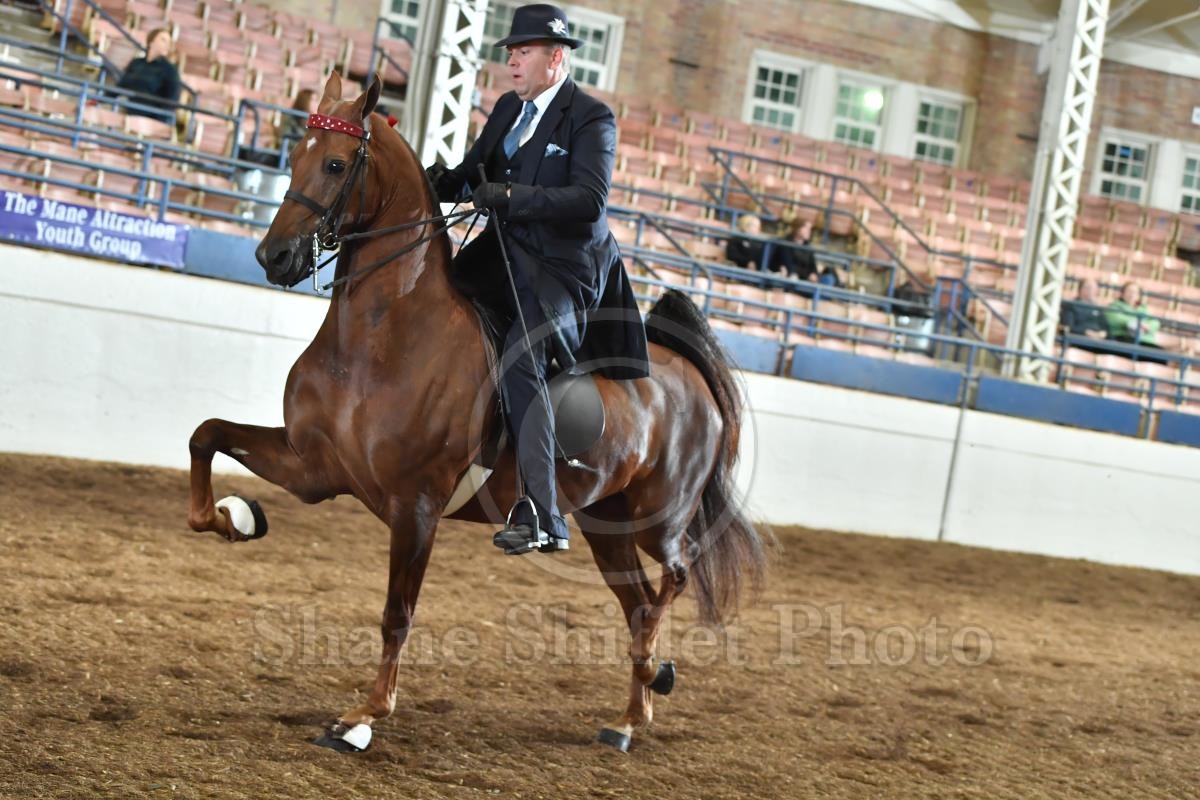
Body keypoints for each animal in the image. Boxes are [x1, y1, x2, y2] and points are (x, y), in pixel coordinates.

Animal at [186, 72, 769, 753]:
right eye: (293, 155)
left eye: (335, 163)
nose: (274, 257)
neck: (383, 336)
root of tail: (686, 371)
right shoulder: (315, 469)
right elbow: (206, 435)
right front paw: (232, 518)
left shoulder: (415, 506)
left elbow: (397, 614)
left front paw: (362, 718)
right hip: (605, 526)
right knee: (638, 600)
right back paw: (631, 715)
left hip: (658, 517)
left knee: (672, 578)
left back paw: (655, 671)